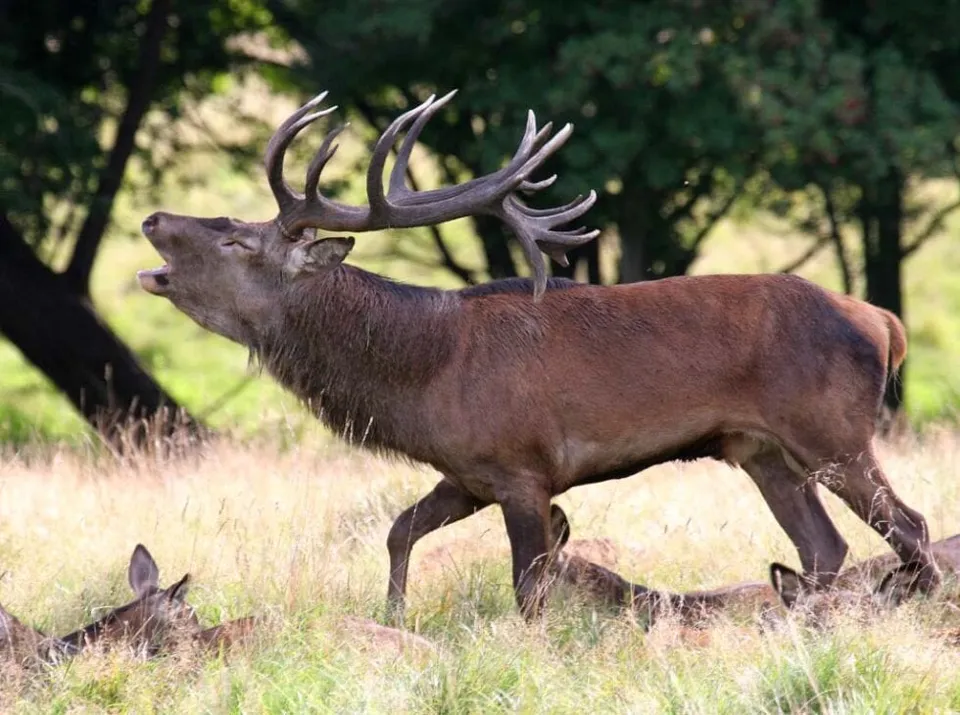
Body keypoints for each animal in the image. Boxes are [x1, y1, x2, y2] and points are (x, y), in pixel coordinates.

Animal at [136, 87, 941, 623]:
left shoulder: (523, 467)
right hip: (762, 450)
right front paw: (393, 617)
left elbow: (527, 587)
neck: (423, 372)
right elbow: (399, 529)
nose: (151, 219)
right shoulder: (466, 471)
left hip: (832, 430)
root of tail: (883, 321)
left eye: (236, 238)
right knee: (823, 546)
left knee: (911, 525)